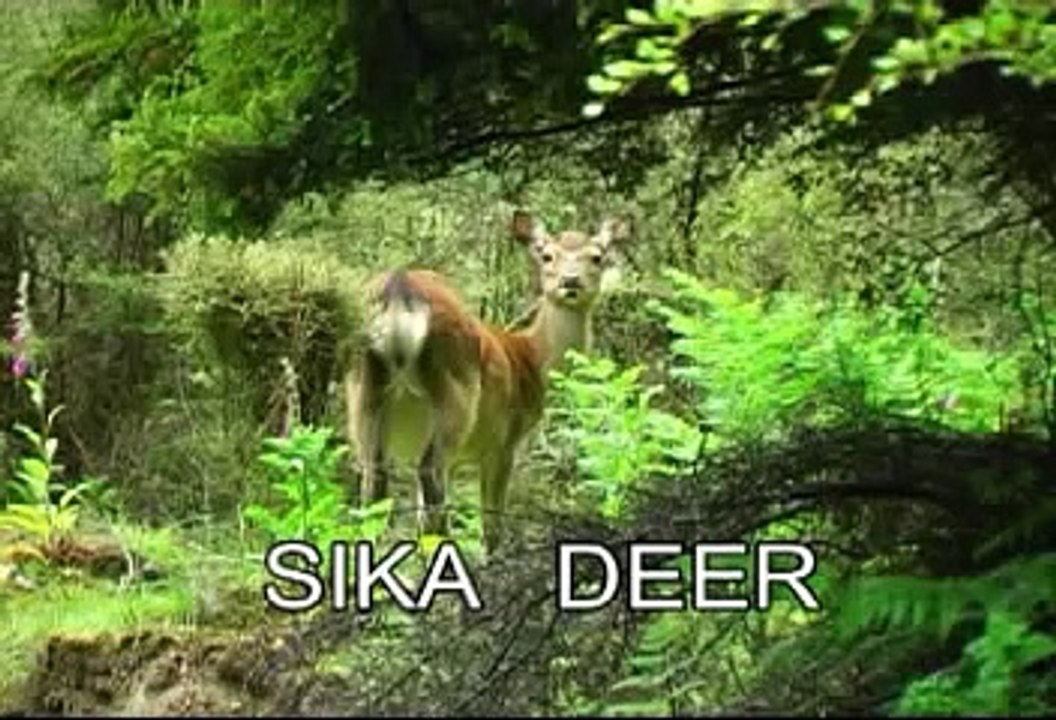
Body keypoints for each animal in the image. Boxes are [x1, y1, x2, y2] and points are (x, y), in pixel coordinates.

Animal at [344, 209, 630, 554]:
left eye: (597, 257)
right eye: (546, 255)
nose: (570, 281)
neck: (533, 359)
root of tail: (399, 291)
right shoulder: (506, 440)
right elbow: (492, 521)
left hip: (363, 392)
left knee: (373, 486)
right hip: (455, 392)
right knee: (429, 474)